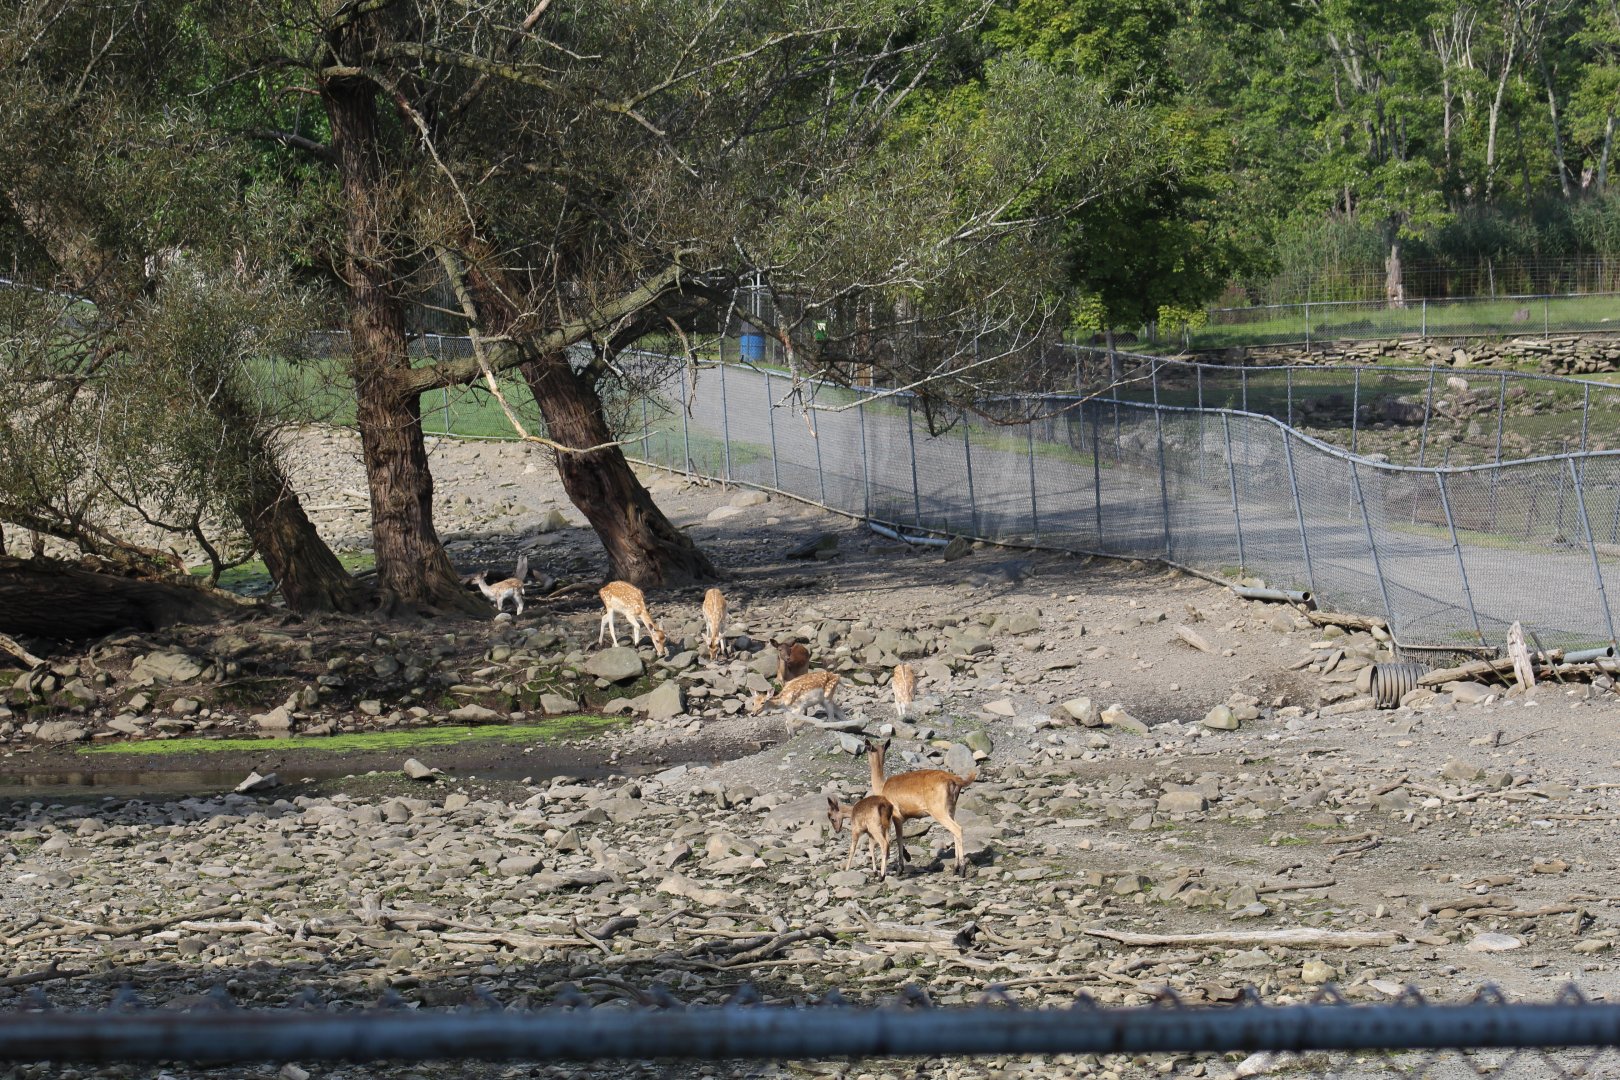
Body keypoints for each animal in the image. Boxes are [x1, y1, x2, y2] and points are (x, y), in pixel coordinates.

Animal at [865, 737, 976, 878]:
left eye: (867, 748)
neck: (882, 787)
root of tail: (955, 779)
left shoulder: (896, 815)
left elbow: (898, 838)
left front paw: (900, 868)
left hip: (938, 810)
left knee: (957, 829)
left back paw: (962, 870)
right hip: (951, 809)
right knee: (954, 831)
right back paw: (955, 868)